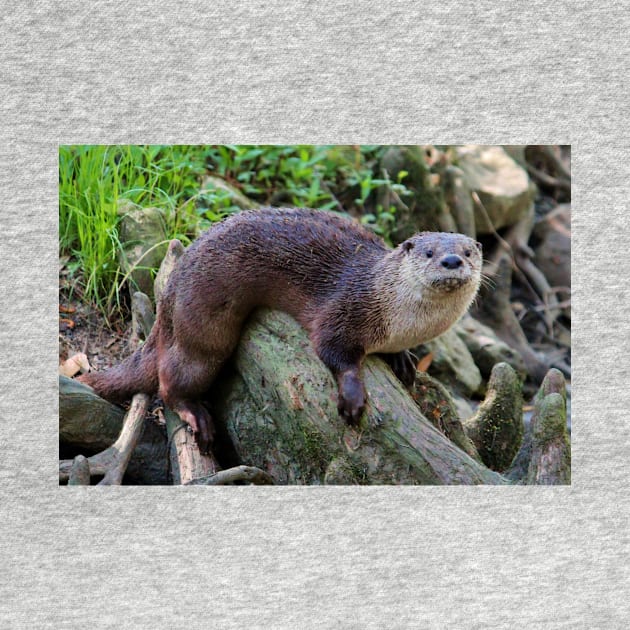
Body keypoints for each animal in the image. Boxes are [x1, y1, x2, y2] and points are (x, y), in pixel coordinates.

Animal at [79, 210, 484, 456]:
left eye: (468, 251)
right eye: (429, 252)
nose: (451, 260)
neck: (396, 316)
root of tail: (167, 295)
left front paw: (403, 361)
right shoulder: (344, 311)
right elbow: (335, 353)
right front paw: (353, 398)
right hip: (202, 329)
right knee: (170, 380)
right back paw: (196, 415)